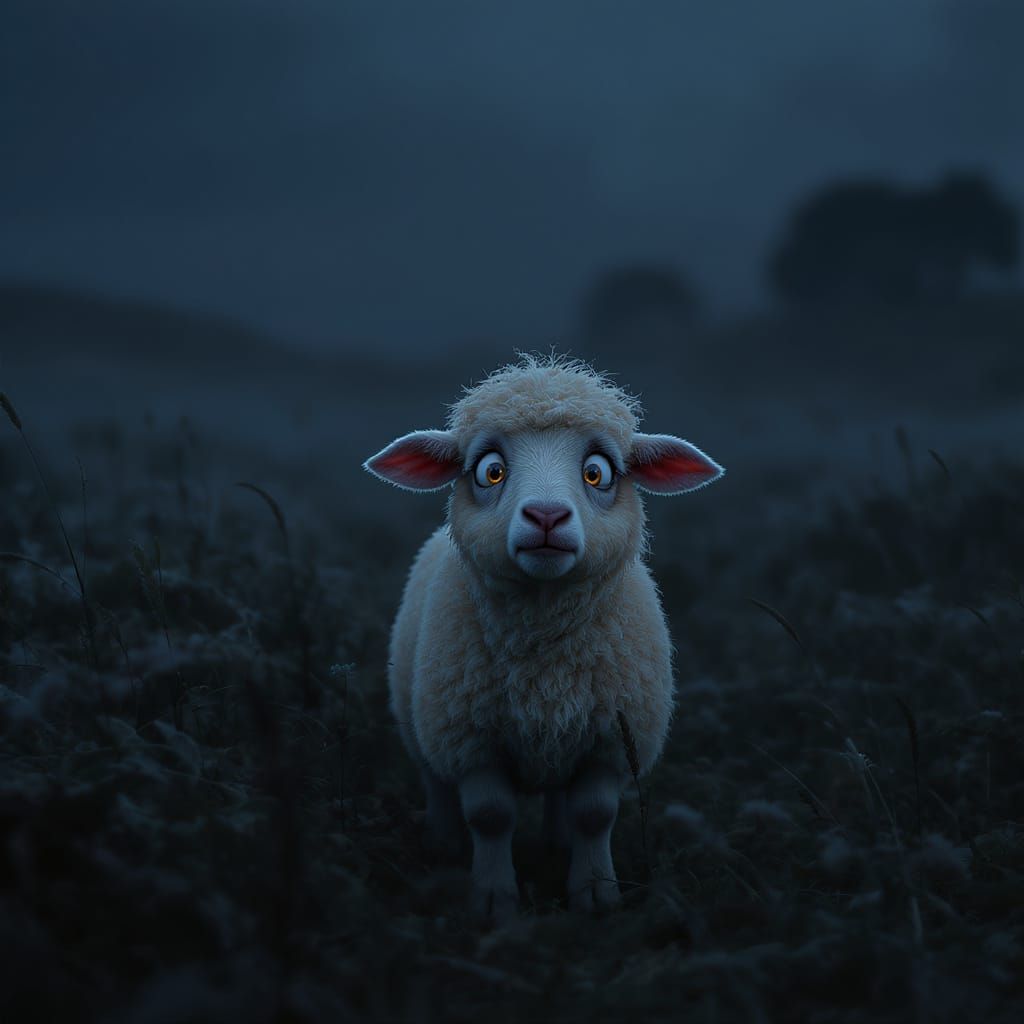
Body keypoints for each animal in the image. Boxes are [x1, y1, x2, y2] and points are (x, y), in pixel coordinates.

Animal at [363, 354, 724, 919]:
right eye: (490, 469)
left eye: (597, 471)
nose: (547, 516)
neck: (544, 654)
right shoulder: (471, 741)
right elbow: (490, 816)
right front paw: (493, 899)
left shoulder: (609, 741)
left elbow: (594, 815)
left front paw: (596, 893)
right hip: (422, 721)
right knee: (435, 782)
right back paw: (442, 844)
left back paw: (556, 844)